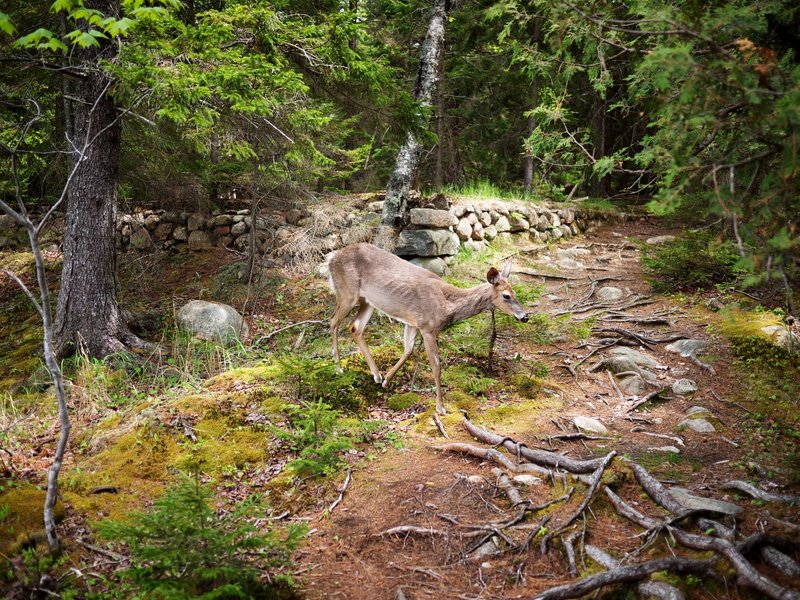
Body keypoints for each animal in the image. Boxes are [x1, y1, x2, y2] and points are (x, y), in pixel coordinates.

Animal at [324, 241, 524, 414]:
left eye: (515, 293)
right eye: (506, 296)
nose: (525, 316)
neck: (447, 305)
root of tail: (331, 259)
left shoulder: (413, 321)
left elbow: (408, 350)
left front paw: (387, 380)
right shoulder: (428, 328)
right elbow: (436, 365)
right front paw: (440, 407)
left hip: (367, 300)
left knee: (355, 327)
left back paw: (376, 375)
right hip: (347, 292)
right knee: (333, 321)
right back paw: (338, 367)